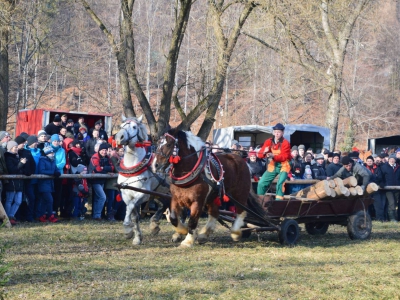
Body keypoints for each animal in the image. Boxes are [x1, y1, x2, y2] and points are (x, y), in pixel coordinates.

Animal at [114, 116, 169, 245]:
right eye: (121, 125)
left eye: (134, 127)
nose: (119, 137)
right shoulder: (126, 194)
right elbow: (134, 216)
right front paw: (137, 237)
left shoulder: (142, 194)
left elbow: (130, 207)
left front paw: (127, 228)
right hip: (159, 192)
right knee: (164, 205)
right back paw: (154, 225)